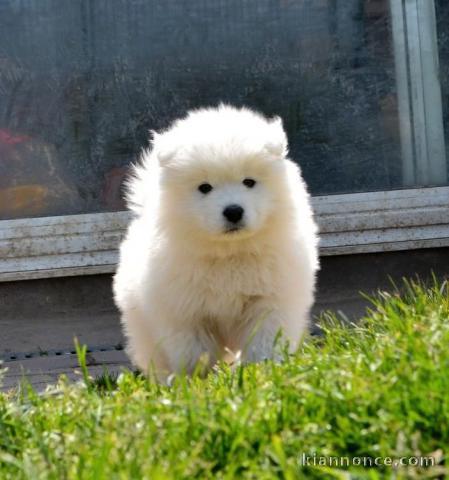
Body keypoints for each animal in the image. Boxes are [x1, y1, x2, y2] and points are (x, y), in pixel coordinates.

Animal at [114, 105, 320, 378]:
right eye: (205, 187)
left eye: (249, 182)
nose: (233, 211)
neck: (228, 253)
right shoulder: (186, 312)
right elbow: (195, 352)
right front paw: (197, 380)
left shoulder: (269, 302)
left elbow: (264, 340)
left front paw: (264, 370)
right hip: (143, 325)